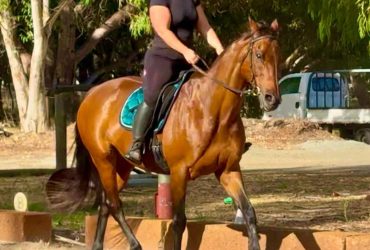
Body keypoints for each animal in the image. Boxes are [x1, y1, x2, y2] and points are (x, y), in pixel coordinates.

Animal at [48, 18, 280, 250]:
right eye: (259, 55)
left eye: (277, 55)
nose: (272, 99)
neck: (213, 110)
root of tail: (92, 93)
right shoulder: (179, 172)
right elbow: (178, 222)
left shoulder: (228, 170)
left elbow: (249, 212)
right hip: (103, 159)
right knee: (114, 204)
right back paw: (135, 244)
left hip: (121, 166)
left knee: (105, 203)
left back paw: (98, 245)